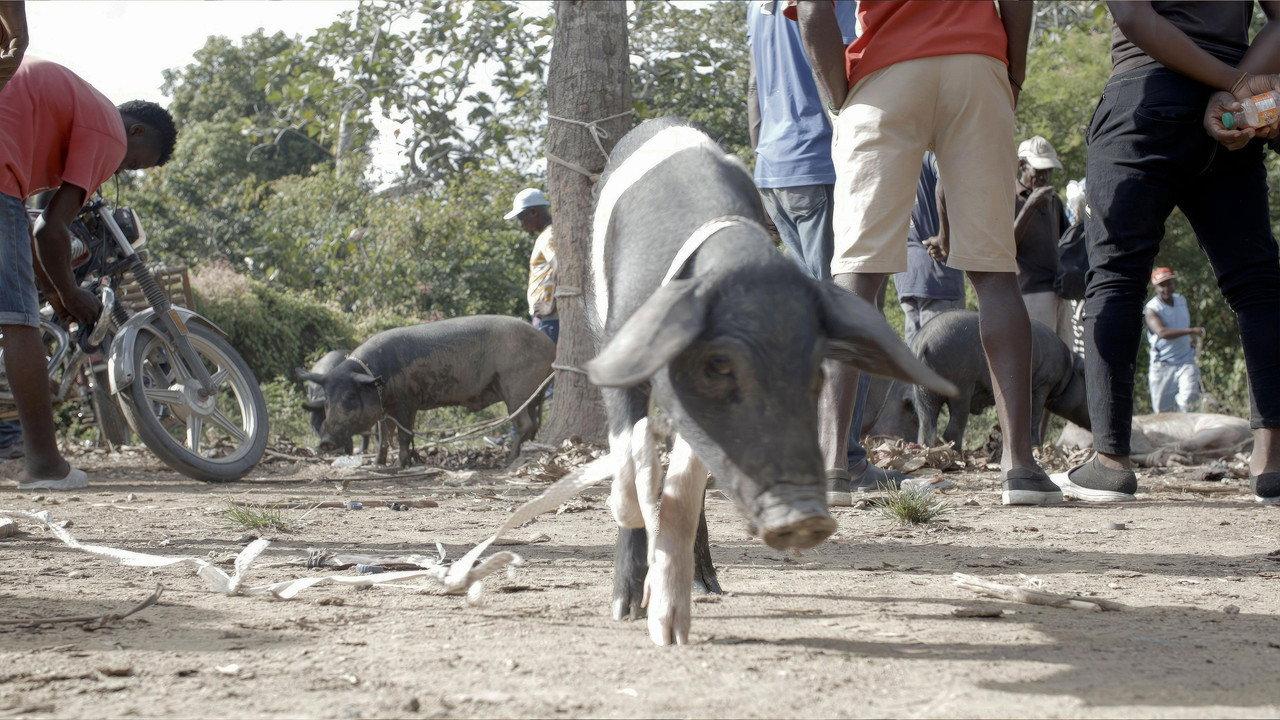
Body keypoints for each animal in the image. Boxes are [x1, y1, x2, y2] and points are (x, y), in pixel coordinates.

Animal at [295, 316, 555, 466]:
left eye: (350, 396)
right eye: (326, 401)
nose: (325, 442)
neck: (377, 378)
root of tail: (550, 346)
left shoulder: (407, 401)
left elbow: (404, 435)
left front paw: (402, 466)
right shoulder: (385, 408)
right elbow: (383, 436)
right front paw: (378, 465)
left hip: (517, 387)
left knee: (524, 424)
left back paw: (508, 462)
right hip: (533, 393)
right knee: (534, 423)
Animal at [584, 118, 954, 646]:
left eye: (815, 370)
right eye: (718, 364)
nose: (805, 515)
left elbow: (686, 485)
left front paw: (671, 623)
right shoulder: (621, 351)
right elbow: (630, 473)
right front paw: (626, 608)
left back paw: (709, 587)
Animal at [912, 310, 1090, 450]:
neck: (1068, 369)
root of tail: (924, 341)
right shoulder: (1043, 384)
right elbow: (1035, 414)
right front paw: (1036, 447)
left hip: (922, 389)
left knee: (926, 425)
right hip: (961, 385)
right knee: (952, 427)